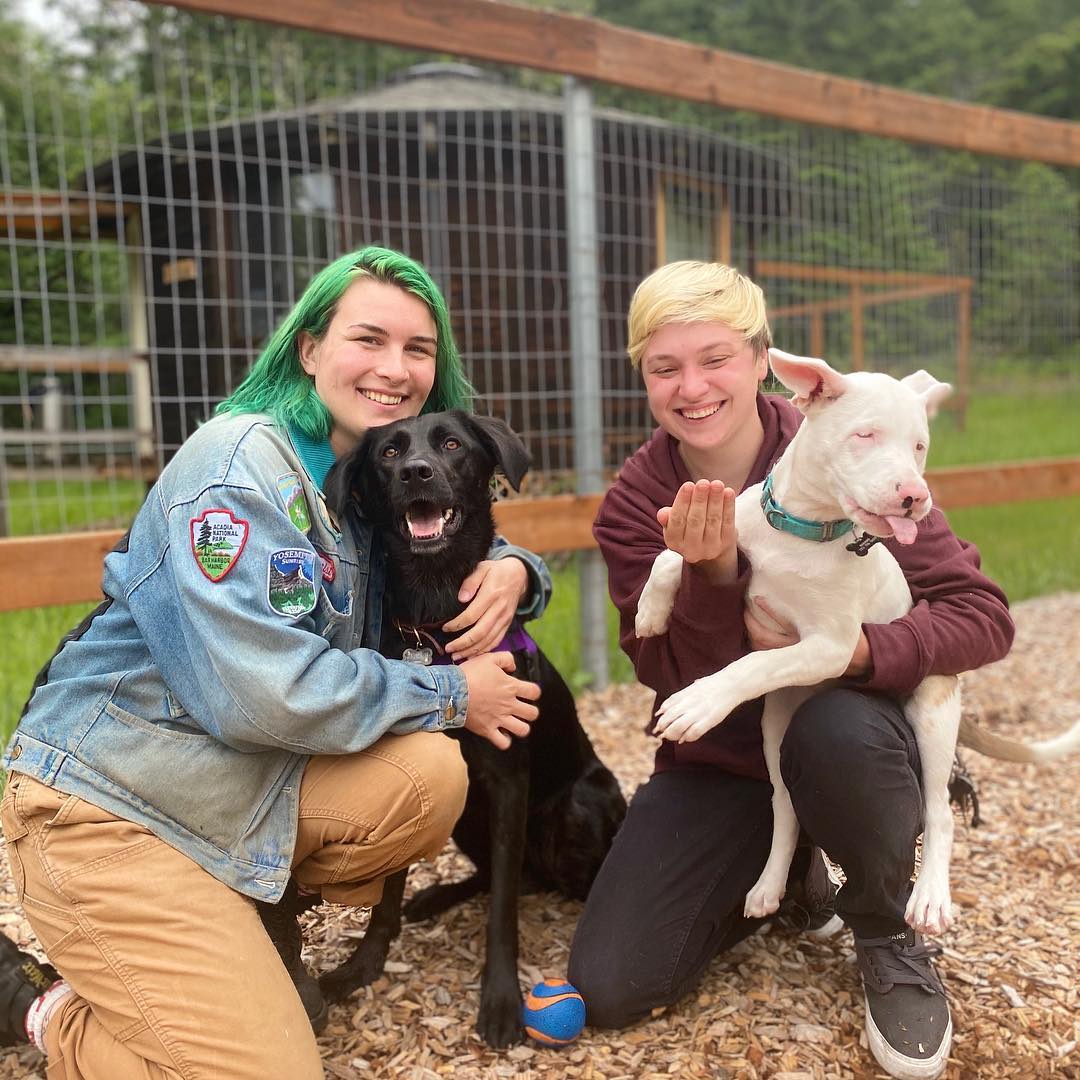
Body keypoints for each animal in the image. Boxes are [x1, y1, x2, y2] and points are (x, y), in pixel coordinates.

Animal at [315, 406, 630, 1045]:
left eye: (452, 445)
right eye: (389, 452)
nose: (416, 472)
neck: (435, 622)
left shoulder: (509, 782)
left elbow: (503, 910)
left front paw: (502, 1000)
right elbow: (388, 891)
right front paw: (362, 965)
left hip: (578, 804)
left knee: (538, 879)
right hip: (463, 816)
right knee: (502, 876)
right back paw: (437, 897)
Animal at [635, 347, 1075, 937]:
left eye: (919, 446)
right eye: (865, 435)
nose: (915, 497)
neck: (802, 532)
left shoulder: (833, 645)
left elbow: (753, 664)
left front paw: (699, 702)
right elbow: (671, 556)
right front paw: (651, 611)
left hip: (932, 712)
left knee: (938, 811)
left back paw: (930, 898)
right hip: (777, 723)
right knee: (785, 806)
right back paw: (769, 886)